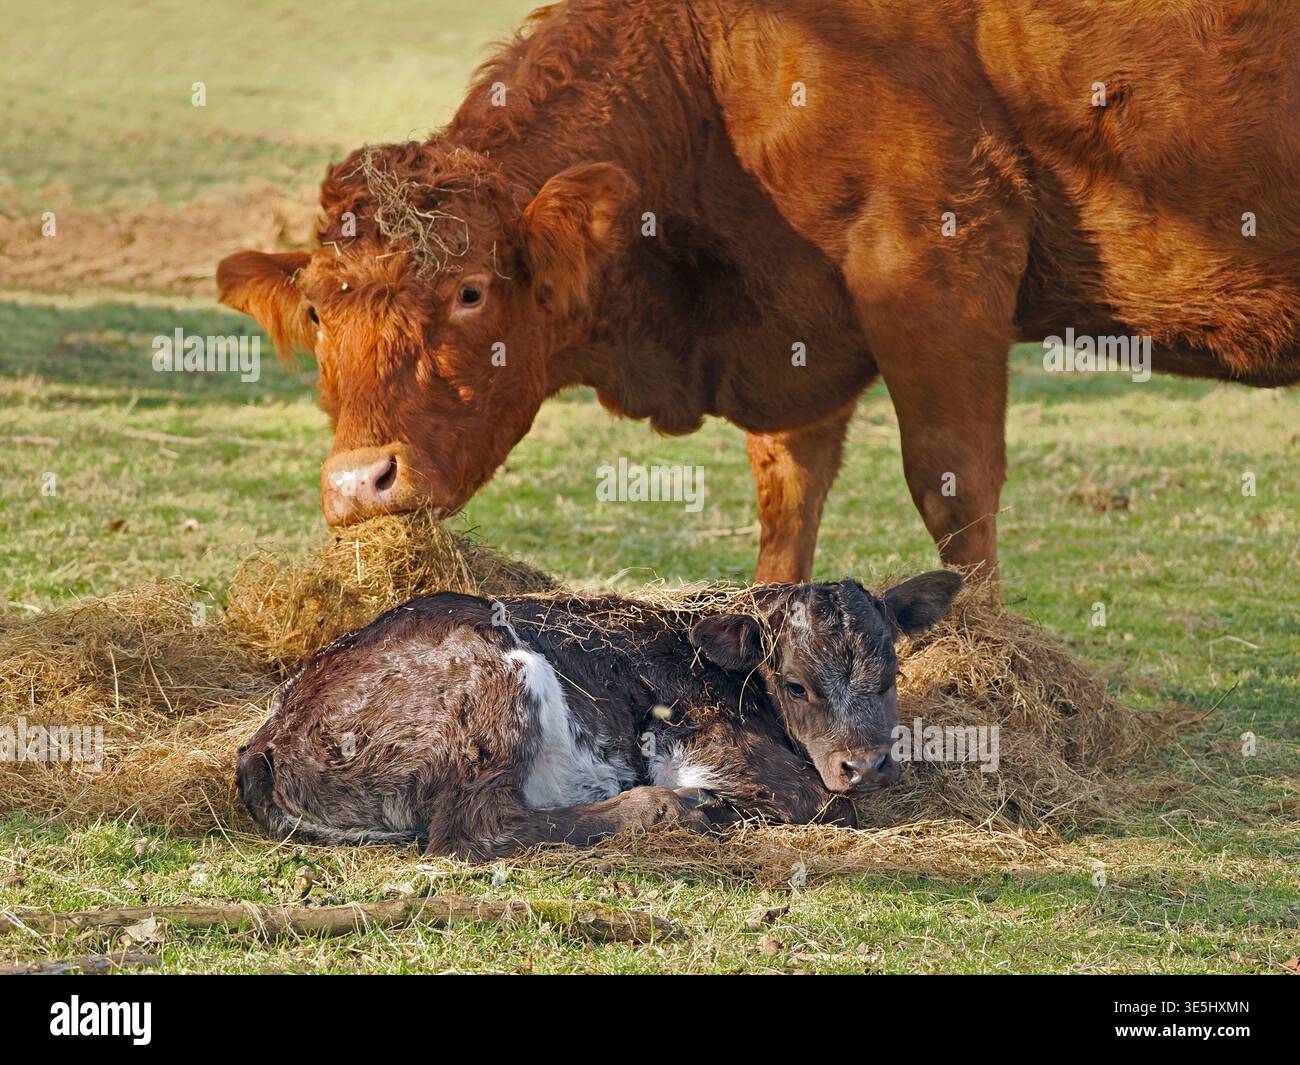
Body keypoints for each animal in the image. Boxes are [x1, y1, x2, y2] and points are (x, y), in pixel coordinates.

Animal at [217, 0, 1300, 582]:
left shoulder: (939, 259)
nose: (360, 485)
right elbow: (789, 496)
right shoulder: (799, 337)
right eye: (315, 310)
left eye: (474, 293)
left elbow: (954, 483)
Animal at [235, 570, 963, 857]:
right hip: (500, 682)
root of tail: (266, 742)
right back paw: (675, 809)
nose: (865, 764)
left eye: (891, 675)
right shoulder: (696, 741)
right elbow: (824, 803)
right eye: (796, 684)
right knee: (476, 828)